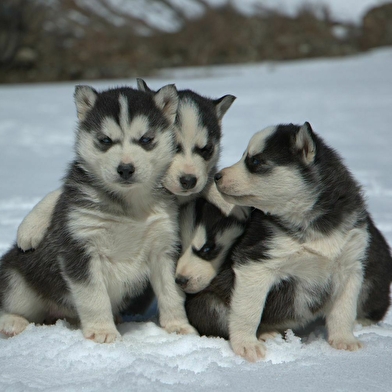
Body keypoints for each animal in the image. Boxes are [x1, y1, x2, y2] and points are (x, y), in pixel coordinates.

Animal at [0, 84, 196, 342]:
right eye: (105, 140)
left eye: (146, 139)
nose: (125, 169)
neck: (128, 205)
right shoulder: (80, 247)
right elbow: (94, 297)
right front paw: (102, 332)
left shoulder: (164, 247)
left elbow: (171, 292)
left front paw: (178, 327)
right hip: (17, 281)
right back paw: (12, 322)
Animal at [181, 122, 392, 362]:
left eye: (255, 161)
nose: (217, 176)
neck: (310, 226)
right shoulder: (256, 262)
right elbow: (248, 311)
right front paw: (246, 345)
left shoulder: (350, 264)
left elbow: (344, 310)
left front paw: (344, 341)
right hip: (208, 304)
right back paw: (267, 334)